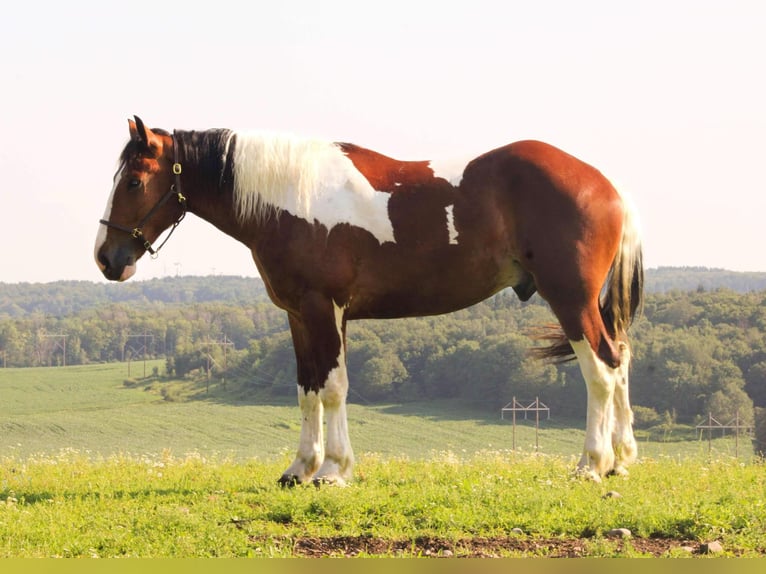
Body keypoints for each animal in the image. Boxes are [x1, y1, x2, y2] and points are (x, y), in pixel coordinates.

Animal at [97, 116, 648, 486]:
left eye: (134, 180)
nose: (107, 258)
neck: (289, 200)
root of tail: (608, 188)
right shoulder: (299, 315)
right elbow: (307, 389)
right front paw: (300, 468)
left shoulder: (326, 308)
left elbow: (333, 388)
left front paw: (333, 472)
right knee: (619, 360)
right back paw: (621, 460)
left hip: (571, 300)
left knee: (600, 371)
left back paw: (591, 464)